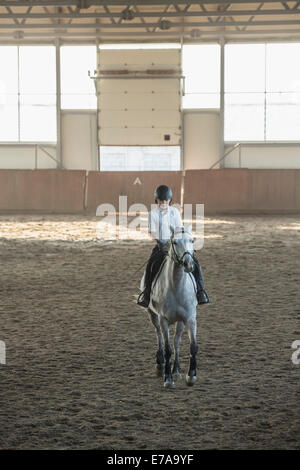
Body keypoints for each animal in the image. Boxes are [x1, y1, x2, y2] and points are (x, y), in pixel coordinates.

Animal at [139, 226, 198, 388]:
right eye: (175, 242)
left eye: (192, 240)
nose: (188, 264)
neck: (176, 287)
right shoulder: (163, 319)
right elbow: (167, 349)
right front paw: (168, 379)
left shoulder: (190, 318)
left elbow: (192, 346)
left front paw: (191, 376)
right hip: (152, 315)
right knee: (158, 334)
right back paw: (160, 364)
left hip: (180, 321)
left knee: (177, 341)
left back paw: (176, 370)